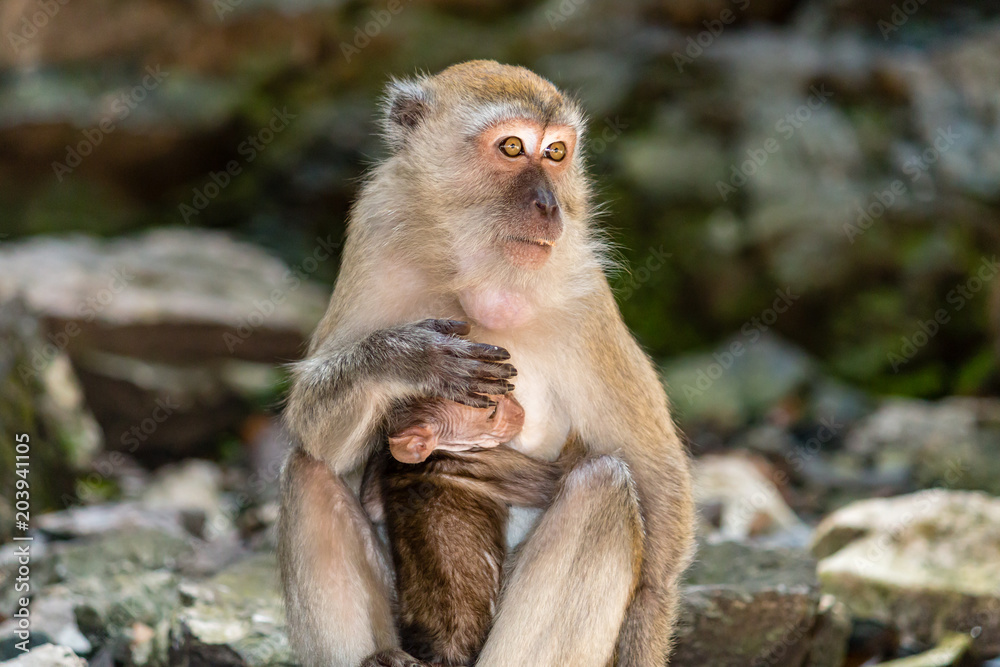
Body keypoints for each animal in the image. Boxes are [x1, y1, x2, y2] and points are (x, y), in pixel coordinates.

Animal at [362, 394, 568, 664]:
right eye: (491, 412)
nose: (519, 410)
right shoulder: (485, 461)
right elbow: (554, 478)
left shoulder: (386, 476)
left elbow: (370, 506)